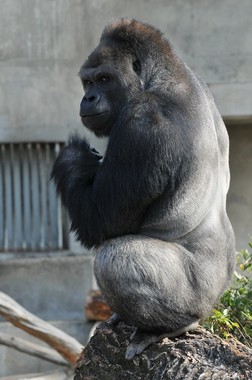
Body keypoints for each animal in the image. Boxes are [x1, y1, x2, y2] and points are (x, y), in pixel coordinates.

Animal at [52, 18, 235, 360]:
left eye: (105, 79)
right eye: (87, 82)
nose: (88, 99)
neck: (164, 75)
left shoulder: (141, 120)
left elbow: (102, 221)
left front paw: (72, 157)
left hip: (198, 299)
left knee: (113, 258)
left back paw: (167, 326)